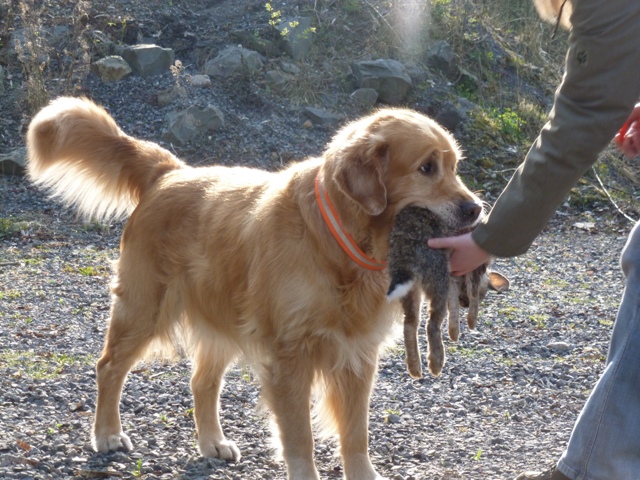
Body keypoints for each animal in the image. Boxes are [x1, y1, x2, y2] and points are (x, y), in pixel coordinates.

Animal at [27, 95, 482, 478]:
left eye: (455, 166)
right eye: (427, 168)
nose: (476, 209)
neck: (337, 240)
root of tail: (169, 173)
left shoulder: (357, 355)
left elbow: (356, 436)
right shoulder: (290, 357)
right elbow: (300, 439)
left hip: (224, 316)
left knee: (201, 382)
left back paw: (212, 442)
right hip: (144, 308)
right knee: (108, 367)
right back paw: (106, 433)